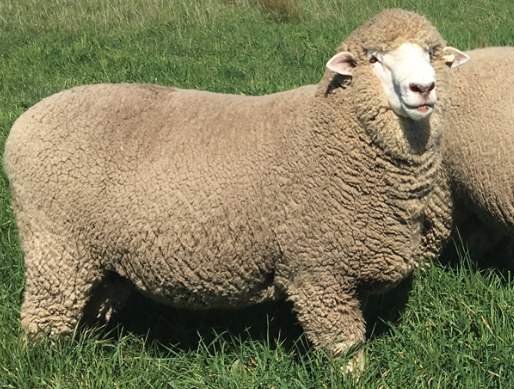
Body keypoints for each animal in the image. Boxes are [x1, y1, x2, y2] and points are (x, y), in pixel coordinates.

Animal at [3, 9, 468, 366]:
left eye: (432, 54)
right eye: (374, 59)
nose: (423, 88)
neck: (329, 135)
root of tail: (24, 123)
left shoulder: (349, 267)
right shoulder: (319, 271)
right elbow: (343, 347)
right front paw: (354, 376)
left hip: (97, 253)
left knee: (91, 304)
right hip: (56, 245)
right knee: (42, 320)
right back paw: (43, 364)